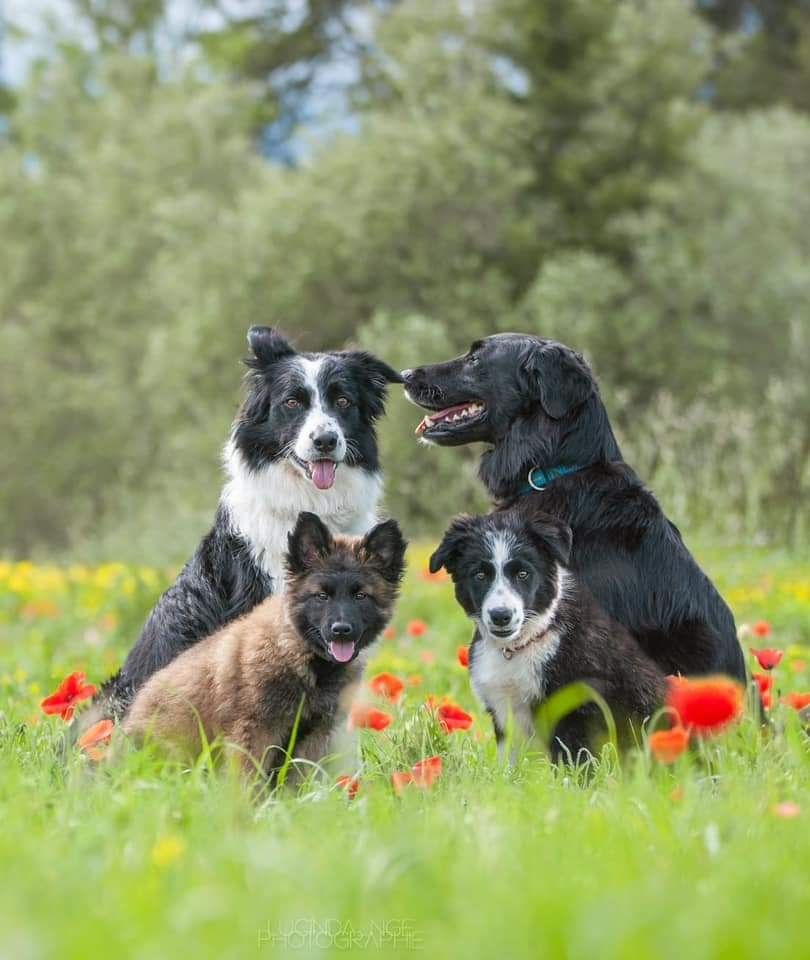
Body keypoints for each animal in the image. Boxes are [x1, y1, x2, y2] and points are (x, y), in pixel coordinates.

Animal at [122, 512, 404, 776]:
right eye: (321, 596)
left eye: (361, 596)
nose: (341, 630)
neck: (299, 655)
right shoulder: (253, 732)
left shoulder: (312, 736)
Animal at [430, 510, 664, 764]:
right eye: (480, 575)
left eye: (523, 573)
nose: (501, 616)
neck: (520, 646)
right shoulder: (504, 713)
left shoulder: (576, 708)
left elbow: (574, 761)